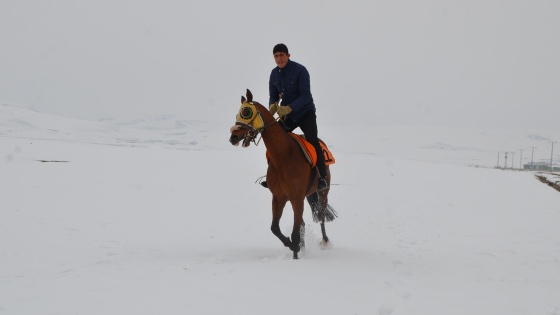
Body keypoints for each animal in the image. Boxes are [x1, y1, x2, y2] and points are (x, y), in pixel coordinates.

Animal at [229, 89, 336, 260]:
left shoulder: (296, 198)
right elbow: (275, 228)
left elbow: (295, 232)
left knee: (321, 216)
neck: (284, 156)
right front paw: (292, 246)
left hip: (323, 192)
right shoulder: (279, 197)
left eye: (246, 112)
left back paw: (325, 241)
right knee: (303, 223)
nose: (233, 137)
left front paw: (295, 253)